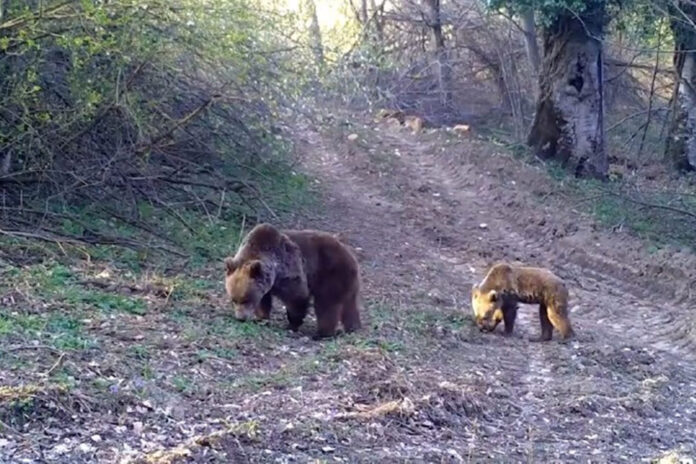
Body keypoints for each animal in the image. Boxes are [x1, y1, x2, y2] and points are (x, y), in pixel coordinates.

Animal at [224, 223, 364, 338]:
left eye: (246, 299)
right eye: (233, 299)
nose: (240, 318)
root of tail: (350, 255)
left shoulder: (290, 271)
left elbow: (297, 297)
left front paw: (292, 324)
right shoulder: (266, 284)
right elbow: (264, 301)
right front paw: (261, 318)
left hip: (331, 274)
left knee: (326, 304)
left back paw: (322, 334)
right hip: (348, 282)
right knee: (350, 305)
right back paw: (353, 328)